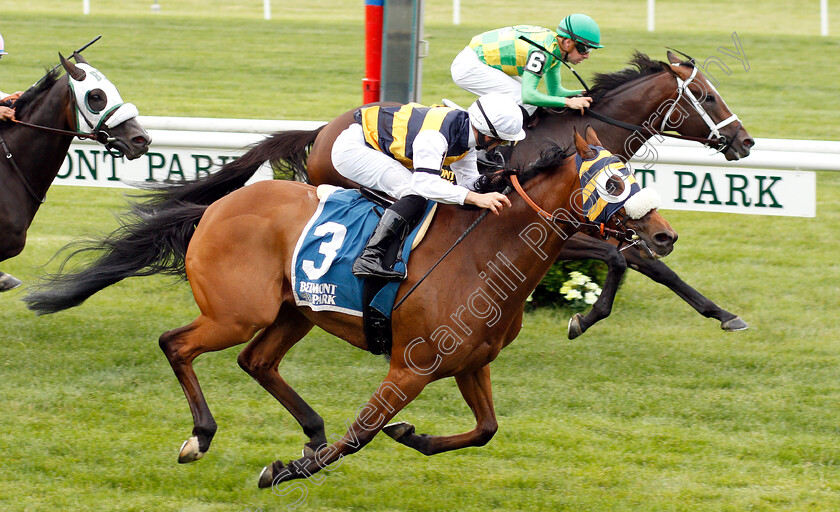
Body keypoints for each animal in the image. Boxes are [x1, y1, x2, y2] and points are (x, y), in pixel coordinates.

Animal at [26, 126, 680, 486]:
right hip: (237, 313)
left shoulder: (470, 362)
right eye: (615, 183)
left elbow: (485, 430)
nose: (666, 235)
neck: (484, 253)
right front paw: (282, 473)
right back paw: (202, 437)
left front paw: (412, 435)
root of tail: (215, 207)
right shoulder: (410, 366)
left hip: (293, 313)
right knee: (177, 344)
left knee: (256, 362)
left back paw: (308, 431)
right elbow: (361, 433)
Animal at [106, 52, 756, 338]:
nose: (745, 142)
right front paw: (584, 316)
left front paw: (723, 313)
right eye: (708, 97)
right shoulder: (560, 232)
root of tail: (322, 130)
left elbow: (651, 264)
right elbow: (622, 260)